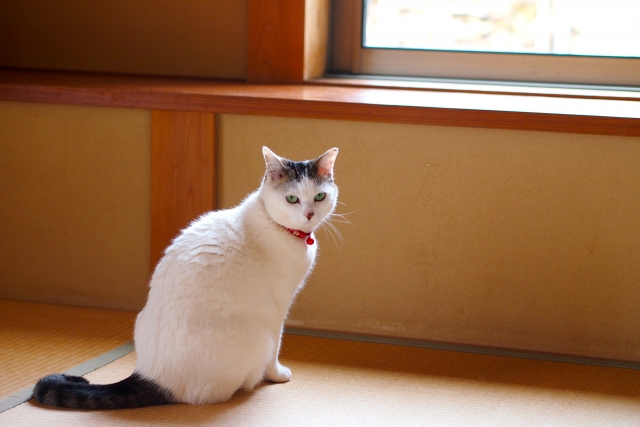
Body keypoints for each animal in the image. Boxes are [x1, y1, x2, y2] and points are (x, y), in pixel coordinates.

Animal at [31, 147, 338, 412]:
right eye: (292, 199)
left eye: (319, 197)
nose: (309, 214)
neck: (284, 230)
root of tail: (153, 376)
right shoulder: (279, 309)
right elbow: (278, 345)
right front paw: (276, 374)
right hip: (258, 334)